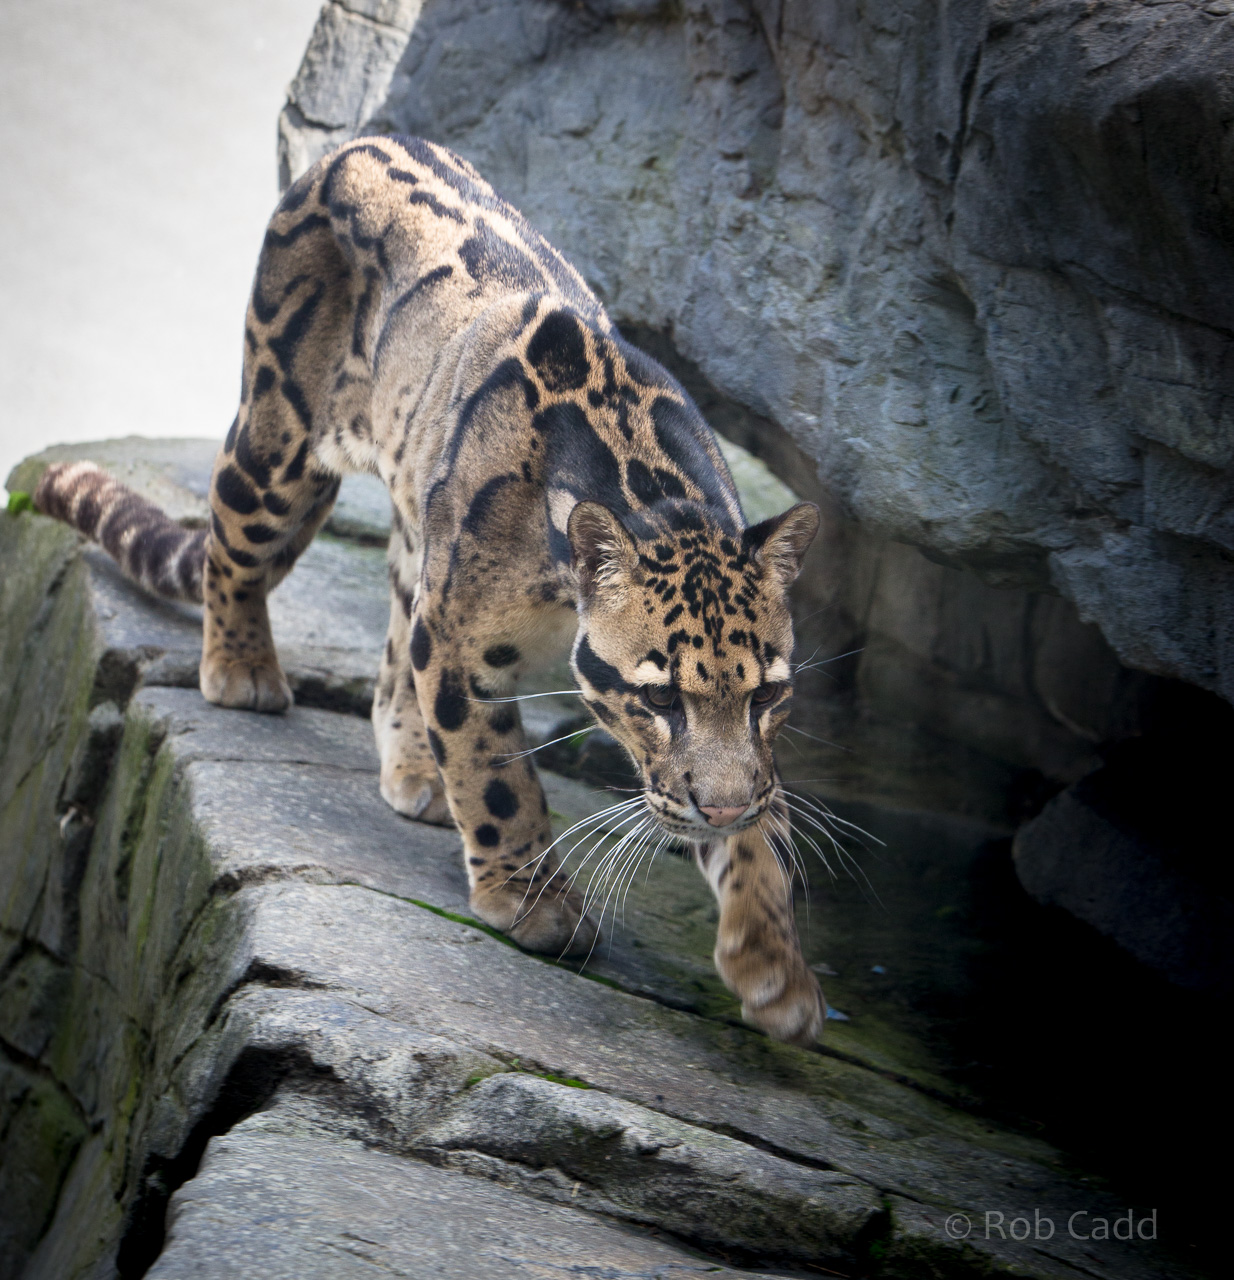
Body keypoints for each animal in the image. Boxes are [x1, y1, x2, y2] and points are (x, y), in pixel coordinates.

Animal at [33, 135, 826, 1044]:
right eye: (660, 700)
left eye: (767, 696)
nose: (720, 809)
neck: (658, 498)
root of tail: (355, 144)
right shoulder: (460, 643)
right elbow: (498, 772)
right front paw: (531, 897)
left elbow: (764, 825)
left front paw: (773, 963)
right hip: (280, 446)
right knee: (231, 549)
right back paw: (242, 669)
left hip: (416, 532)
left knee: (390, 651)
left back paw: (413, 767)